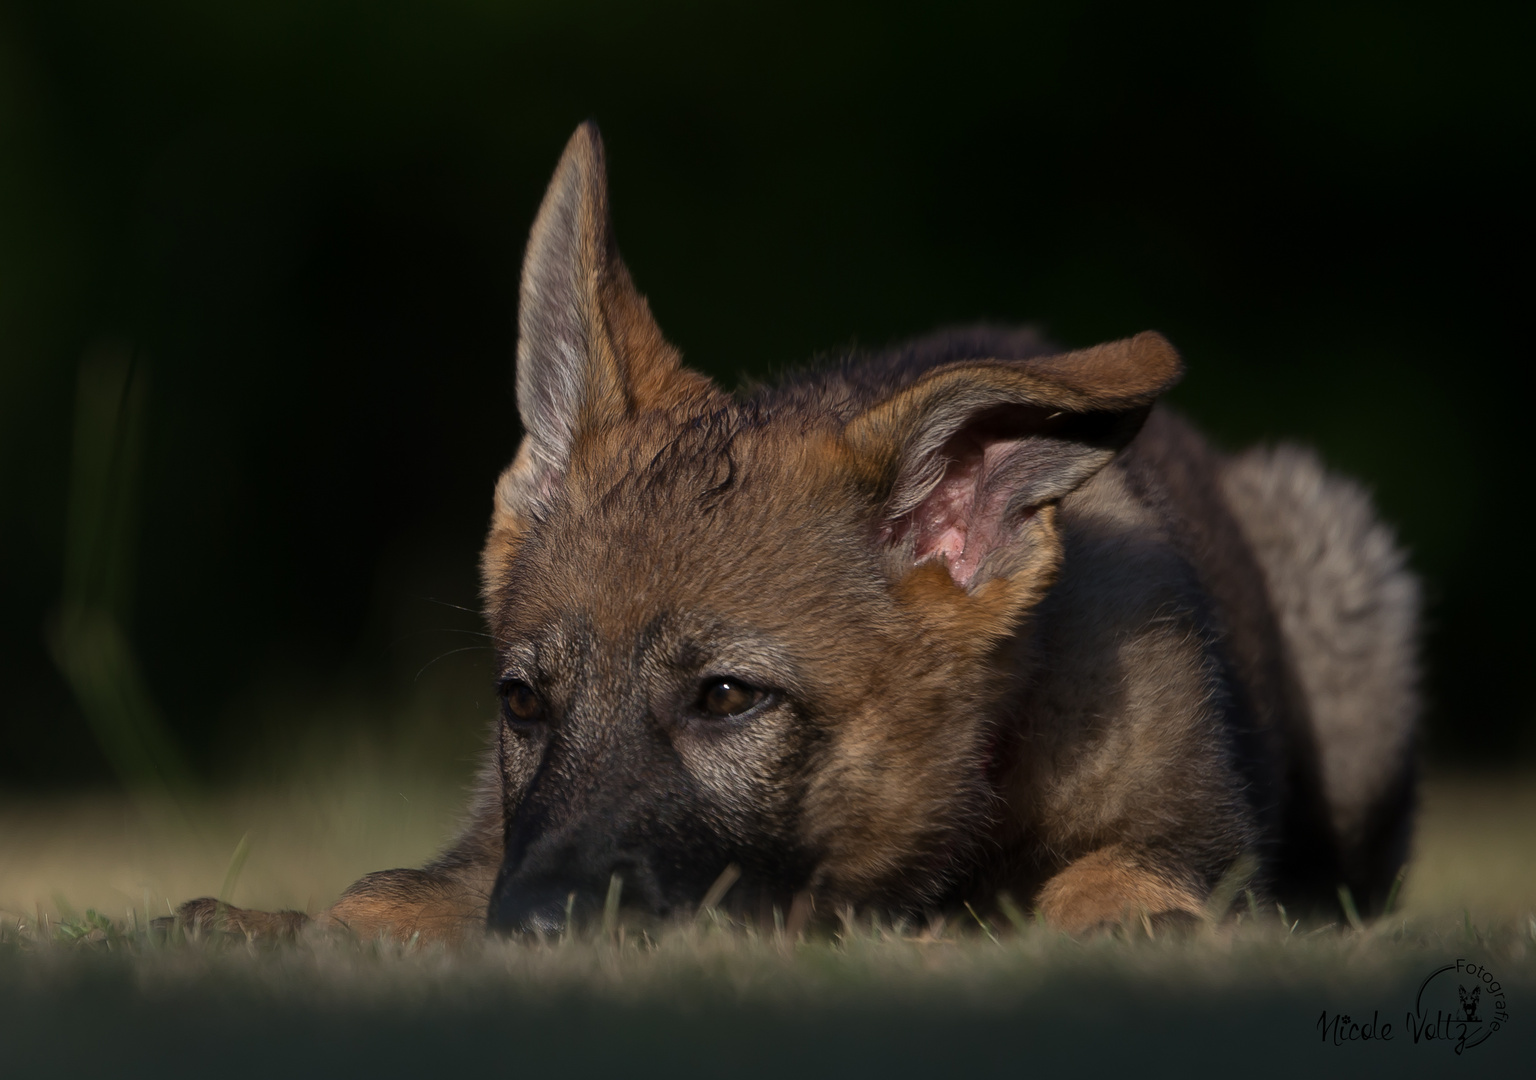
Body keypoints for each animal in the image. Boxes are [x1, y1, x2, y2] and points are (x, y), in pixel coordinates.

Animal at [168, 122, 1413, 940]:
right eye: (522, 703)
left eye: (727, 697)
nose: (530, 931)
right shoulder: (491, 840)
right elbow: (379, 896)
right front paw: (269, 927)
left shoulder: (1181, 830)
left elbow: (1117, 886)